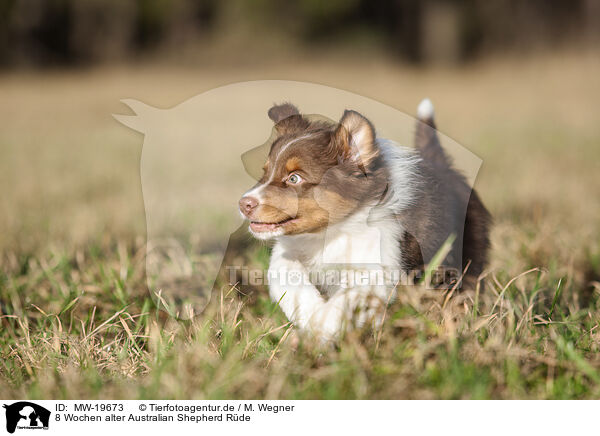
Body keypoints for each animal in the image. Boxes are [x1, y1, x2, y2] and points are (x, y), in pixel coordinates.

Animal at [237, 100, 490, 342]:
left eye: (294, 178)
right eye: (265, 172)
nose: (243, 204)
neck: (331, 232)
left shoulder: (378, 266)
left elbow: (348, 299)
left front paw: (325, 326)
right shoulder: (287, 252)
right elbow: (286, 277)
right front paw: (312, 318)